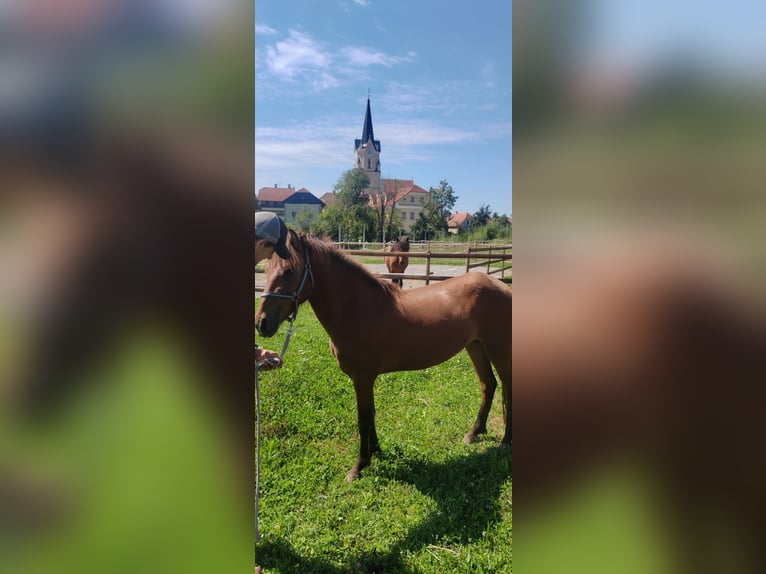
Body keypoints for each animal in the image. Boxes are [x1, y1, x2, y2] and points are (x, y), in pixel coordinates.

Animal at [258, 232, 516, 484]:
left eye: (289, 271)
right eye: (267, 269)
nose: (262, 323)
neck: (359, 309)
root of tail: (502, 287)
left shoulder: (362, 378)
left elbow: (363, 419)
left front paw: (359, 466)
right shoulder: (366, 379)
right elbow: (371, 414)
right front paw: (376, 452)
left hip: (499, 349)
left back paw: (505, 441)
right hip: (476, 347)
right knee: (488, 385)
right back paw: (474, 433)